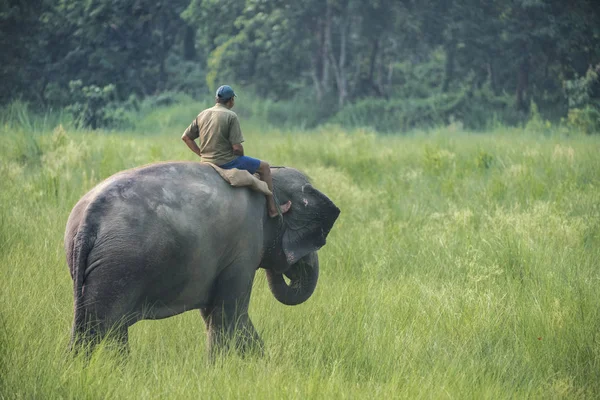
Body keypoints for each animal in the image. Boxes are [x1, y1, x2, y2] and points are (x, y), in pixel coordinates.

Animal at [64, 161, 342, 358]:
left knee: (97, 326)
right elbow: (230, 314)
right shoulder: (244, 246)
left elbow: (215, 313)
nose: (290, 265)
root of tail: (89, 218)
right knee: (106, 326)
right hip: (120, 266)